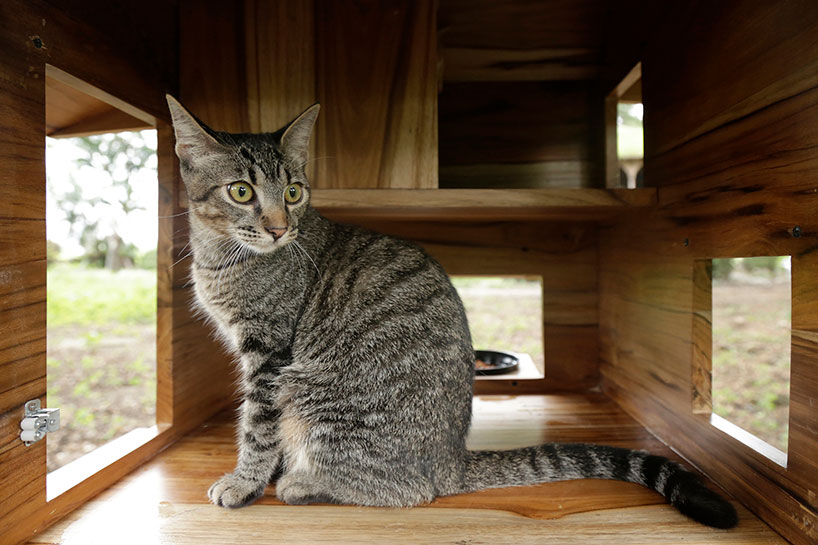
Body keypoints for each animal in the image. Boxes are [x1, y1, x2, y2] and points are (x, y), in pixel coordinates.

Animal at [164, 95, 732, 528]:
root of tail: (451, 461)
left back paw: (303, 483)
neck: (223, 259)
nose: (280, 226)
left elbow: (257, 428)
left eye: (293, 191)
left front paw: (245, 482)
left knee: (405, 491)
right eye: (241, 191)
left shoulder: (269, 353)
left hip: (312, 394)